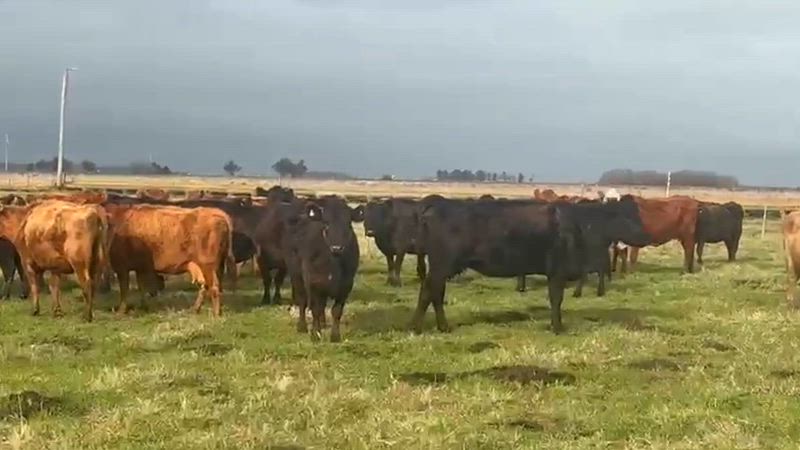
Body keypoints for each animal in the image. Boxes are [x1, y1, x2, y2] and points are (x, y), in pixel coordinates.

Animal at [103, 204, 234, 316]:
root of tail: (217, 213)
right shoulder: (139, 267)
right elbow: (141, 287)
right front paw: (144, 307)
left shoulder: (122, 268)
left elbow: (124, 290)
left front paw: (121, 311)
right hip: (209, 267)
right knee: (206, 286)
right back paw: (195, 309)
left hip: (208, 266)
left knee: (214, 287)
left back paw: (216, 314)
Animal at [283, 196, 361, 342]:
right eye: (326, 223)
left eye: (348, 224)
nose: (337, 248)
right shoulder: (313, 282)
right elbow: (315, 309)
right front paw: (315, 334)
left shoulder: (346, 285)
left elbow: (336, 310)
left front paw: (335, 336)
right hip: (296, 275)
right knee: (302, 301)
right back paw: (302, 326)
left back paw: (324, 324)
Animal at [411, 197, 649, 334]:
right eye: (627, 217)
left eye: (638, 214)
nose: (646, 236)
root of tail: (435, 207)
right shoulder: (558, 270)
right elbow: (556, 299)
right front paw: (557, 327)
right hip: (442, 264)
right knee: (428, 292)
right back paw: (417, 328)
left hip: (442, 267)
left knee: (436, 294)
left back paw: (443, 327)